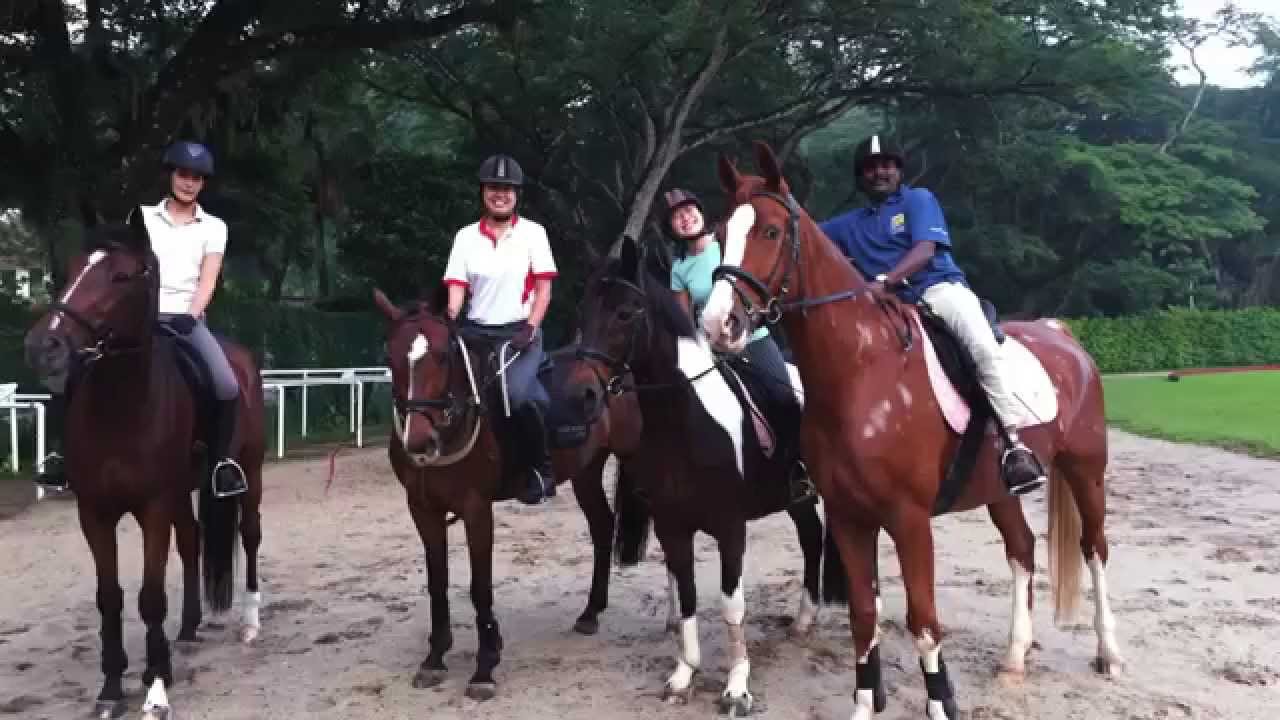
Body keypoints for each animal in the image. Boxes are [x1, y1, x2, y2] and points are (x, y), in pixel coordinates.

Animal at [22, 204, 266, 720]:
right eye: (72, 269)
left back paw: (251, 622)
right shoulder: (94, 512)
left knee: (249, 535)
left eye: (120, 276)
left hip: (249, 473)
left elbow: (150, 597)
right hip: (181, 490)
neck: (123, 406)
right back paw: (189, 629)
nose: (44, 347)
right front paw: (112, 689)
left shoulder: (152, 506)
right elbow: (109, 598)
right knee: (192, 542)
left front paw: (155, 688)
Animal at [549, 237, 847, 715]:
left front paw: (737, 687)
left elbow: (732, 606)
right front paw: (683, 676)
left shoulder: (730, 527)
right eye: (583, 311)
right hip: (794, 497)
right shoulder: (673, 527)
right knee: (811, 536)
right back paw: (804, 620)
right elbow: (687, 595)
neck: (686, 422)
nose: (583, 394)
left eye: (625, 313)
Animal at [699, 141, 1124, 719]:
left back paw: (1109, 653)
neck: (863, 371)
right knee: (1022, 551)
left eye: (768, 231)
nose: (718, 325)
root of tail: (1064, 338)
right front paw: (862, 705)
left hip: (1085, 470)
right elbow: (863, 615)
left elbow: (923, 620)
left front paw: (941, 704)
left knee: (1094, 549)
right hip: (999, 490)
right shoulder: (850, 518)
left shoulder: (909, 519)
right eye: (720, 232)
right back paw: (1015, 658)